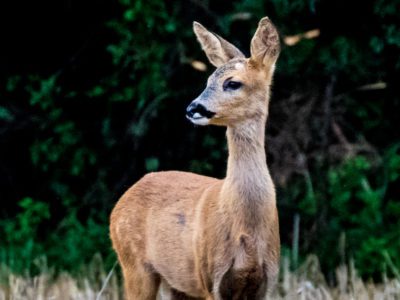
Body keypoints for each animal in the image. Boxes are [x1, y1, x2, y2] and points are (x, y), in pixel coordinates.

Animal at [110, 17, 282, 300]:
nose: (193, 109)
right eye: (208, 80)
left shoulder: (266, 281)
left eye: (232, 83)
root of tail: (119, 203)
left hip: (177, 283)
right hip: (134, 265)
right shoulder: (211, 277)